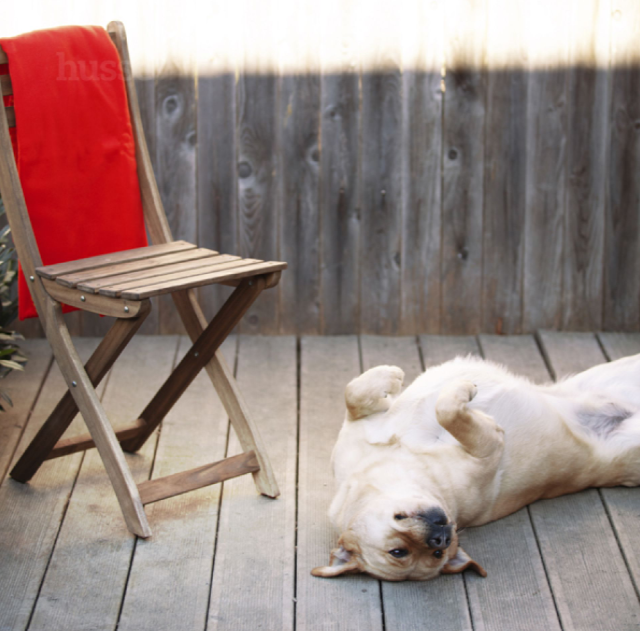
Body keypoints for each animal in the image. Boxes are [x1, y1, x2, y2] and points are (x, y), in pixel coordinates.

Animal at [312, 356, 640, 584]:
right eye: (400, 552)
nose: (440, 537)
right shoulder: (489, 446)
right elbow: (447, 410)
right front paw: (460, 390)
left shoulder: (358, 429)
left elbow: (353, 394)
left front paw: (390, 376)